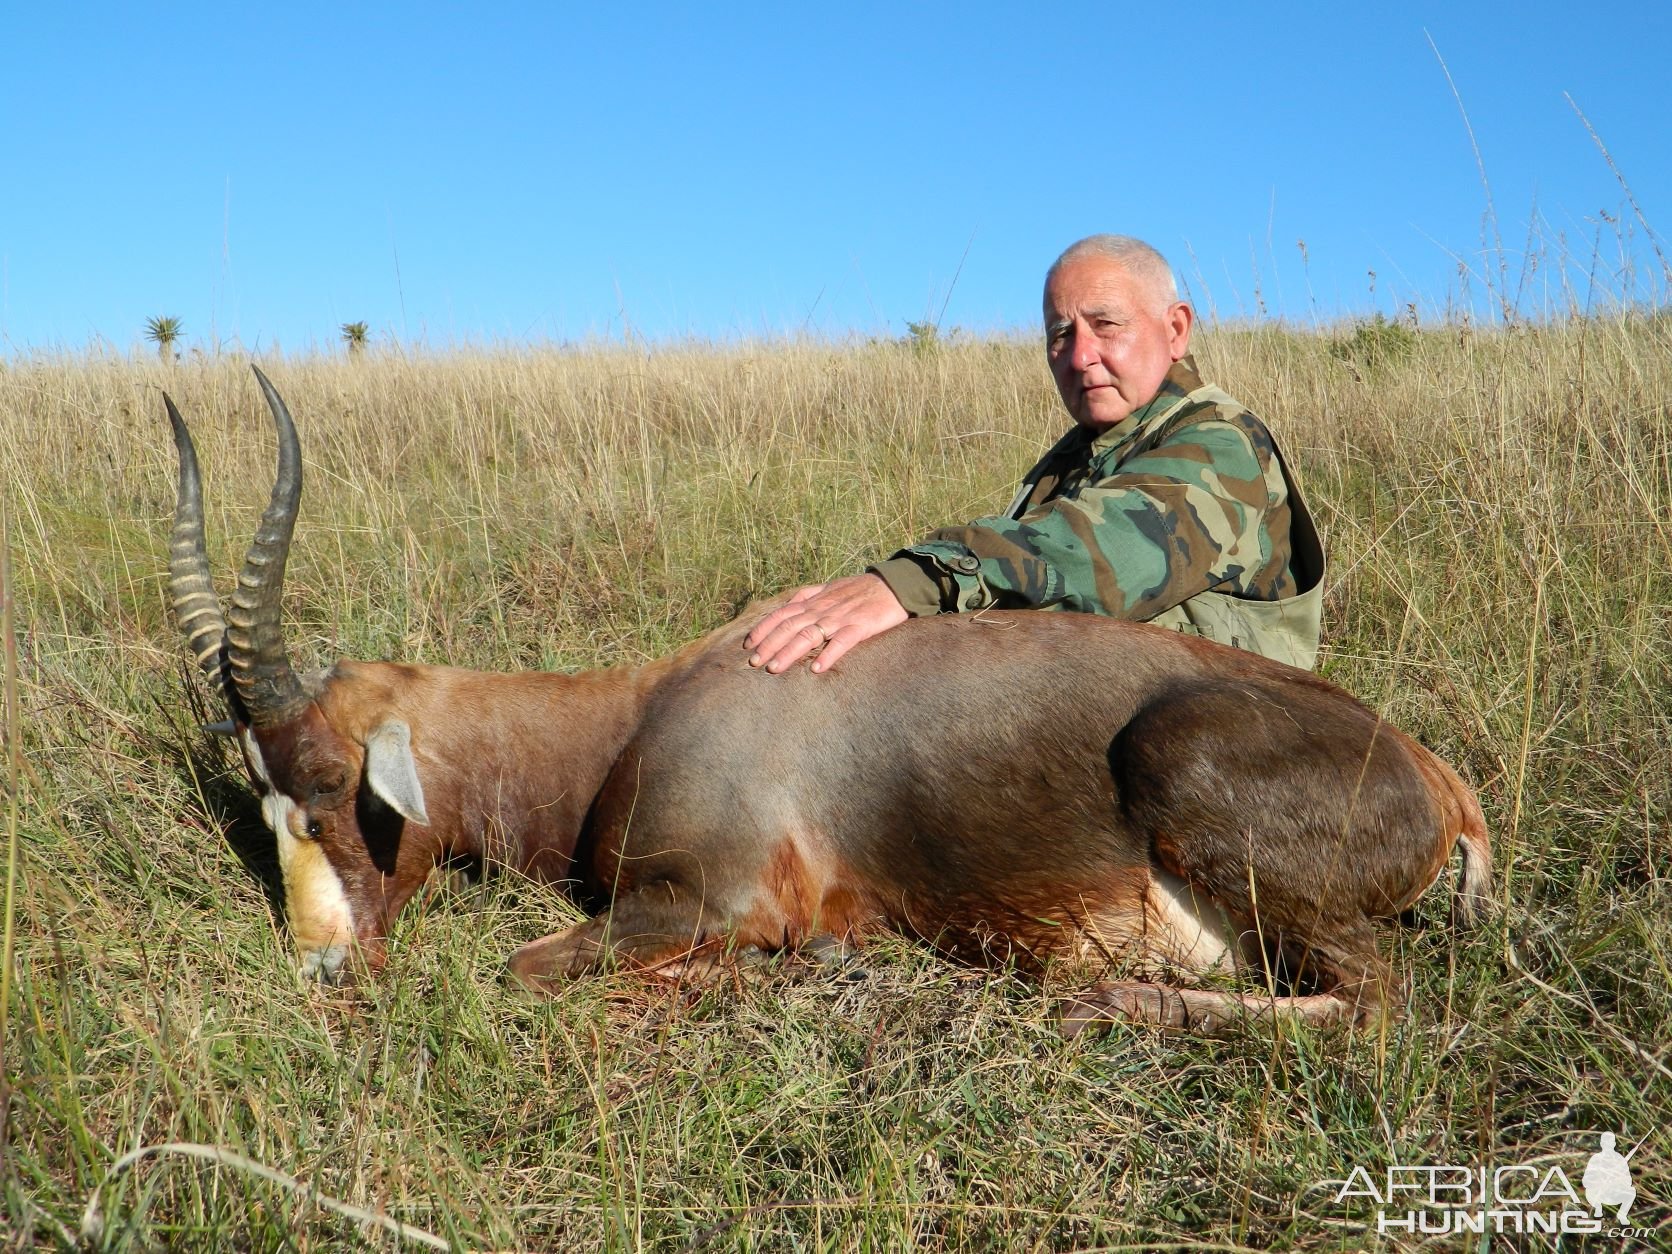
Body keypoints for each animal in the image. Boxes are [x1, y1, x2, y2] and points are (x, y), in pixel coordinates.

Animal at [166, 371, 1491, 1029]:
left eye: (332, 786)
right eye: (257, 799)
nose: (322, 971)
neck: (646, 708)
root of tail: (1439, 783)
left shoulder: (710, 899)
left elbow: (533, 967)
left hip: (1195, 784)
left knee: (1378, 1007)